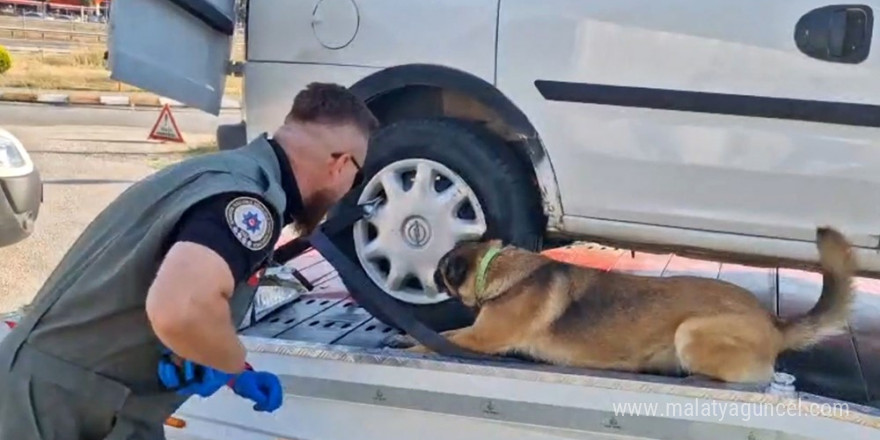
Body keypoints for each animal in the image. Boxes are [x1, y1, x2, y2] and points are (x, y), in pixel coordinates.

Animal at [388, 227, 856, 382]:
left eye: (440, 269)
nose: (425, 278)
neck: (500, 266)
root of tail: (773, 321)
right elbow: (440, 333)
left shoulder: (481, 338)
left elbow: (438, 336)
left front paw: (408, 341)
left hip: (691, 332)